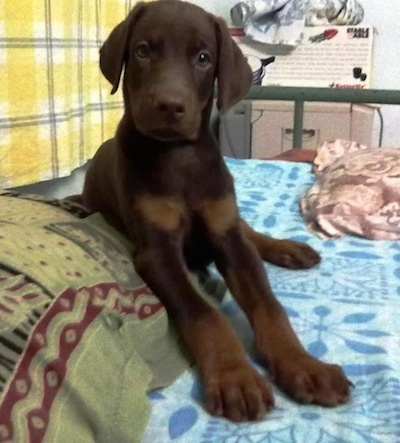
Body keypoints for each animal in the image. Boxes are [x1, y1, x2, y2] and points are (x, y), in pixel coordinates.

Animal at [83, 0, 352, 424]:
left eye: (203, 58)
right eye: (142, 51)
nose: (169, 106)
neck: (180, 156)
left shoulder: (227, 238)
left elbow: (270, 306)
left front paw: (303, 365)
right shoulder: (157, 252)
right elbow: (206, 315)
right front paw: (234, 376)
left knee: (248, 230)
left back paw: (289, 249)